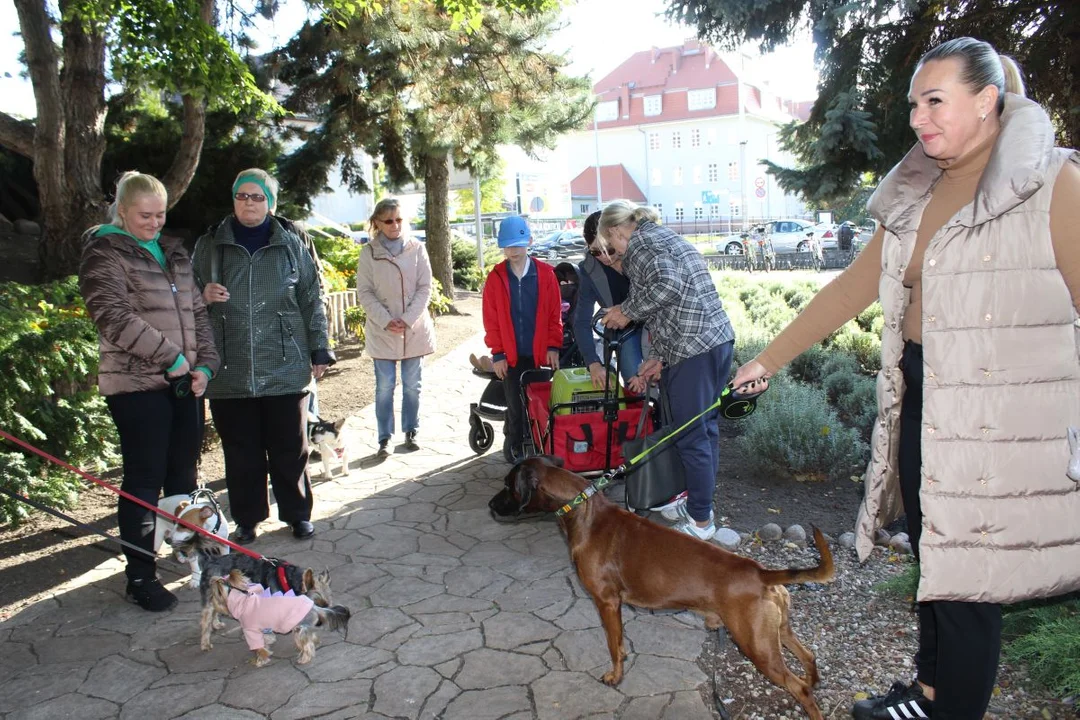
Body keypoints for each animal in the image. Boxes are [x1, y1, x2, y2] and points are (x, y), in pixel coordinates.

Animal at [206, 569, 349, 669]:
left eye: (215, 594)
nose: (210, 599)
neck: (242, 600)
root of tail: (315, 607)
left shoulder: (251, 631)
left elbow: (259, 648)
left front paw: (260, 660)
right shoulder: (262, 629)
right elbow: (267, 638)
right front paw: (269, 643)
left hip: (300, 627)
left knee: (307, 644)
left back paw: (303, 658)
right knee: (312, 636)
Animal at [490, 459, 833, 716]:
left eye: (508, 485)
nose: (490, 505)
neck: (583, 510)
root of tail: (761, 573)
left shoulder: (606, 602)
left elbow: (612, 645)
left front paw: (615, 676)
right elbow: (620, 642)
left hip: (757, 646)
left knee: (800, 688)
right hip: (777, 633)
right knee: (809, 657)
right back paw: (815, 678)